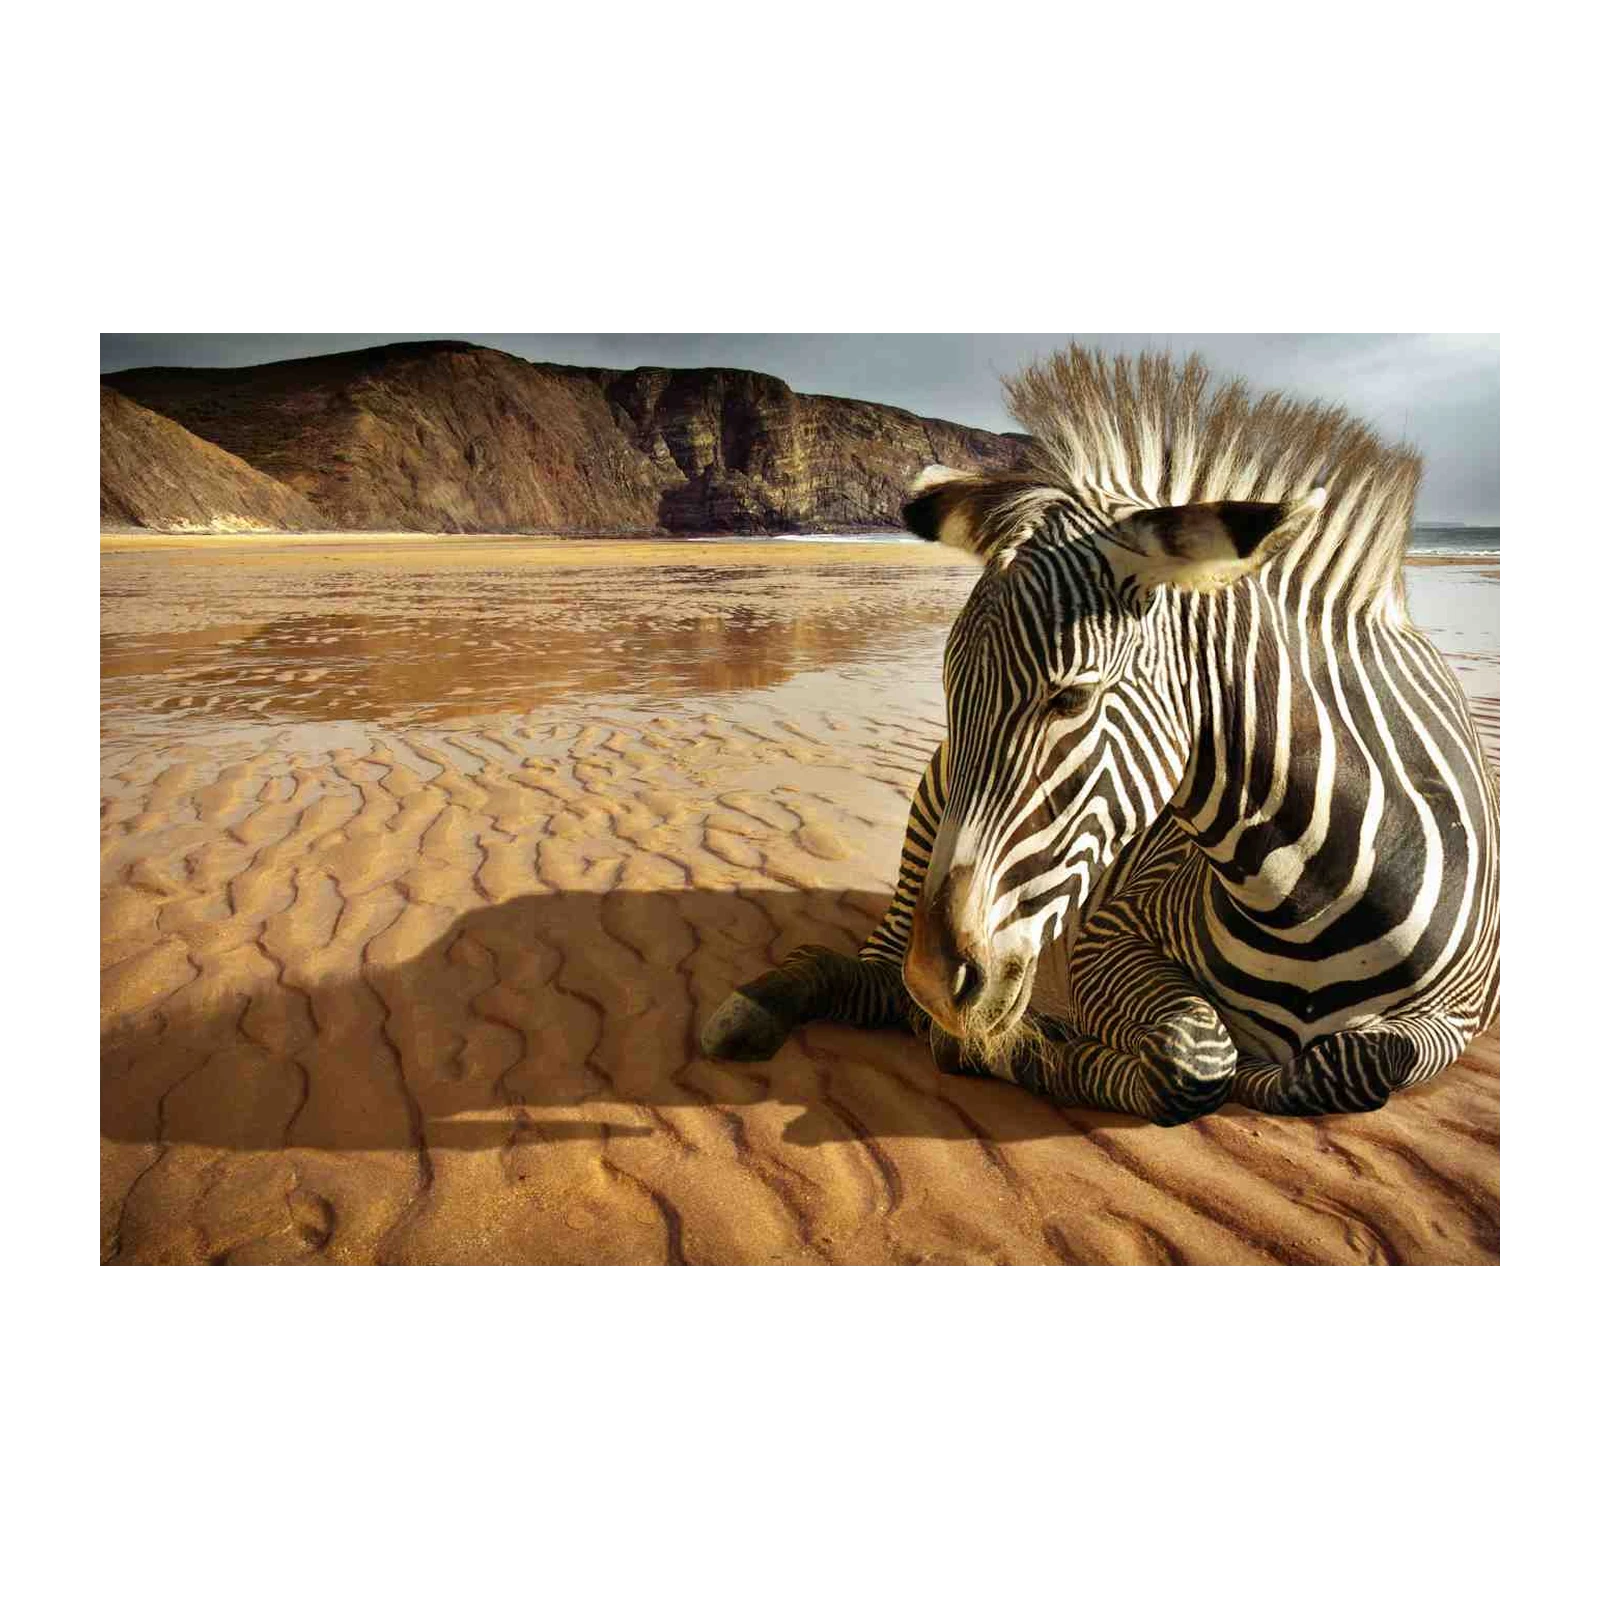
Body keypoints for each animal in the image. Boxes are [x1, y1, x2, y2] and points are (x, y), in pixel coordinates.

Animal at [701, 347, 1502, 1126]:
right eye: (951, 691)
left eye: (1072, 698)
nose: (936, 980)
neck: (1309, 899)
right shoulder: (1111, 933)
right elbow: (1196, 1056)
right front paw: (1016, 1050)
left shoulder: (1464, 1013)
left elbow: (1358, 1061)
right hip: (925, 832)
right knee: (872, 976)